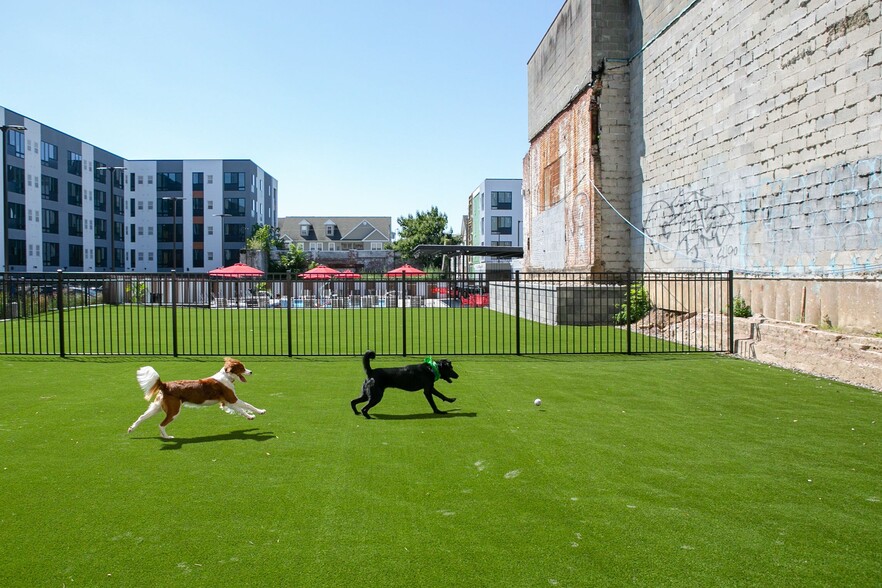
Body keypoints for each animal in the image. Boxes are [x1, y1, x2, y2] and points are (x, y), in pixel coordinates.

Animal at [127, 356, 264, 438]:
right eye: (242, 368)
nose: (251, 372)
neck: (226, 376)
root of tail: (165, 385)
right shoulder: (232, 399)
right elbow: (247, 405)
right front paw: (259, 412)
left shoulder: (227, 402)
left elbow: (241, 409)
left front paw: (250, 416)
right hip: (174, 411)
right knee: (161, 424)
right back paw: (167, 437)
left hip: (156, 407)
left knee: (142, 417)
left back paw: (131, 429)